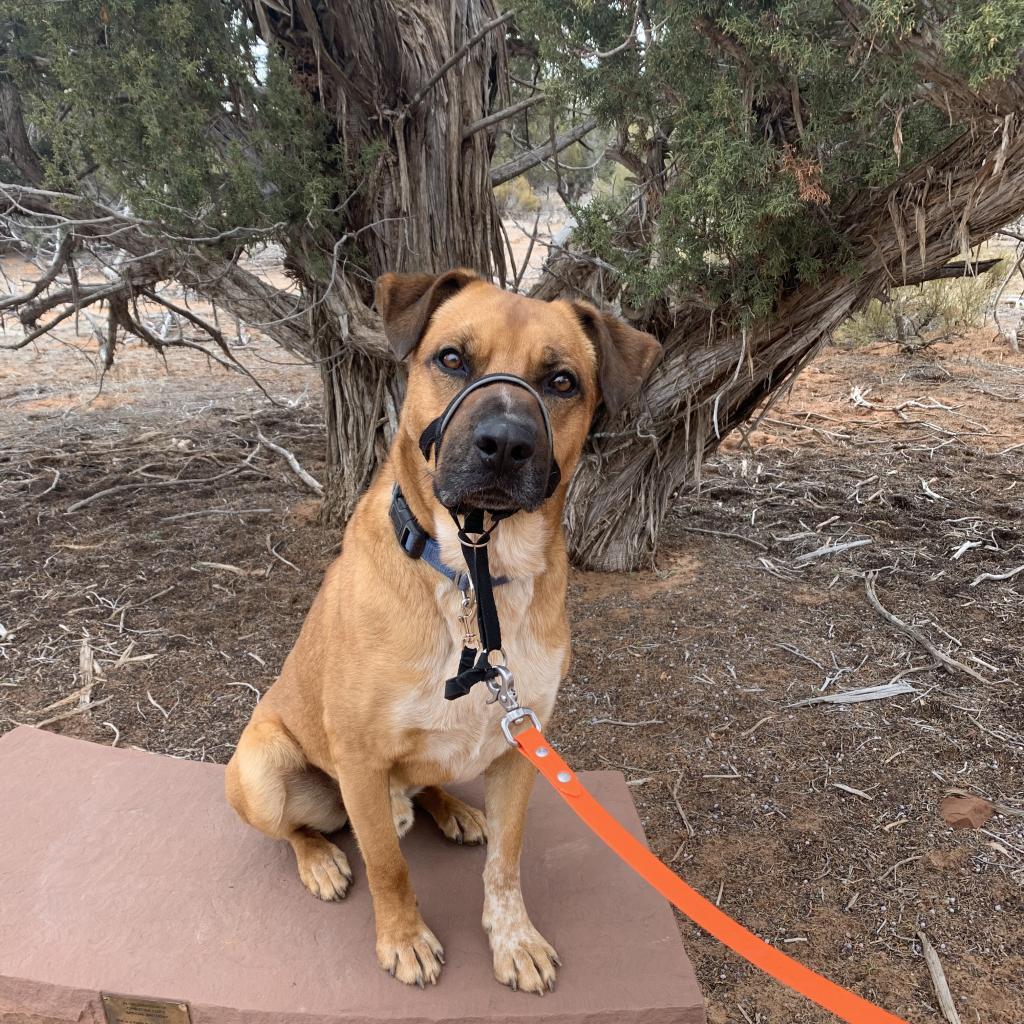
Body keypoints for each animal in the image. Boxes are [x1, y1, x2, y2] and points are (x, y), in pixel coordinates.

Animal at [224, 270, 659, 991]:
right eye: (452, 359)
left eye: (561, 380)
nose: (505, 444)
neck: (475, 577)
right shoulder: (359, 754)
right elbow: (387, 865)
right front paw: (404, 939)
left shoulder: (521, 745)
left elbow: (506, 863)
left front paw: (514, 939)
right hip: (262, 769)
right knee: (299, 829)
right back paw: (322, 857)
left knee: (425, 782)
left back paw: (444, 808)